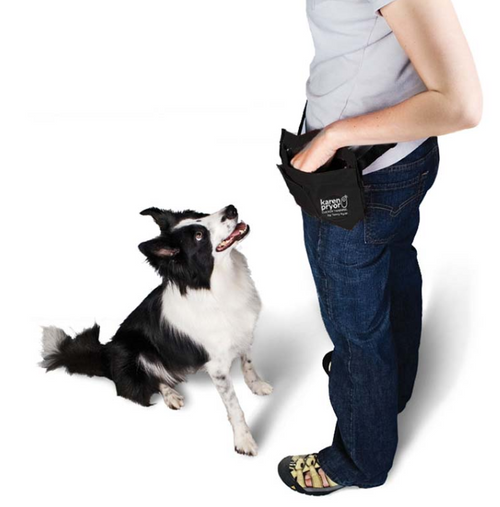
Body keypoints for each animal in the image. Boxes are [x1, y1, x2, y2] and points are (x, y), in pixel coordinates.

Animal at [39, 205, 272, 456]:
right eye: (199, 236)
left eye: (200, 214)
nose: (231, 209)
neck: (217, 283)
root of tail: (105, 356)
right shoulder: (217, 366)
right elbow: (234, 405)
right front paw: (243, 440)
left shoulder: (243, 333)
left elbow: (248, 362)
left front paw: (256, 385)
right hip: (134, 351)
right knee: (147, 381)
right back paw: (170, 395)